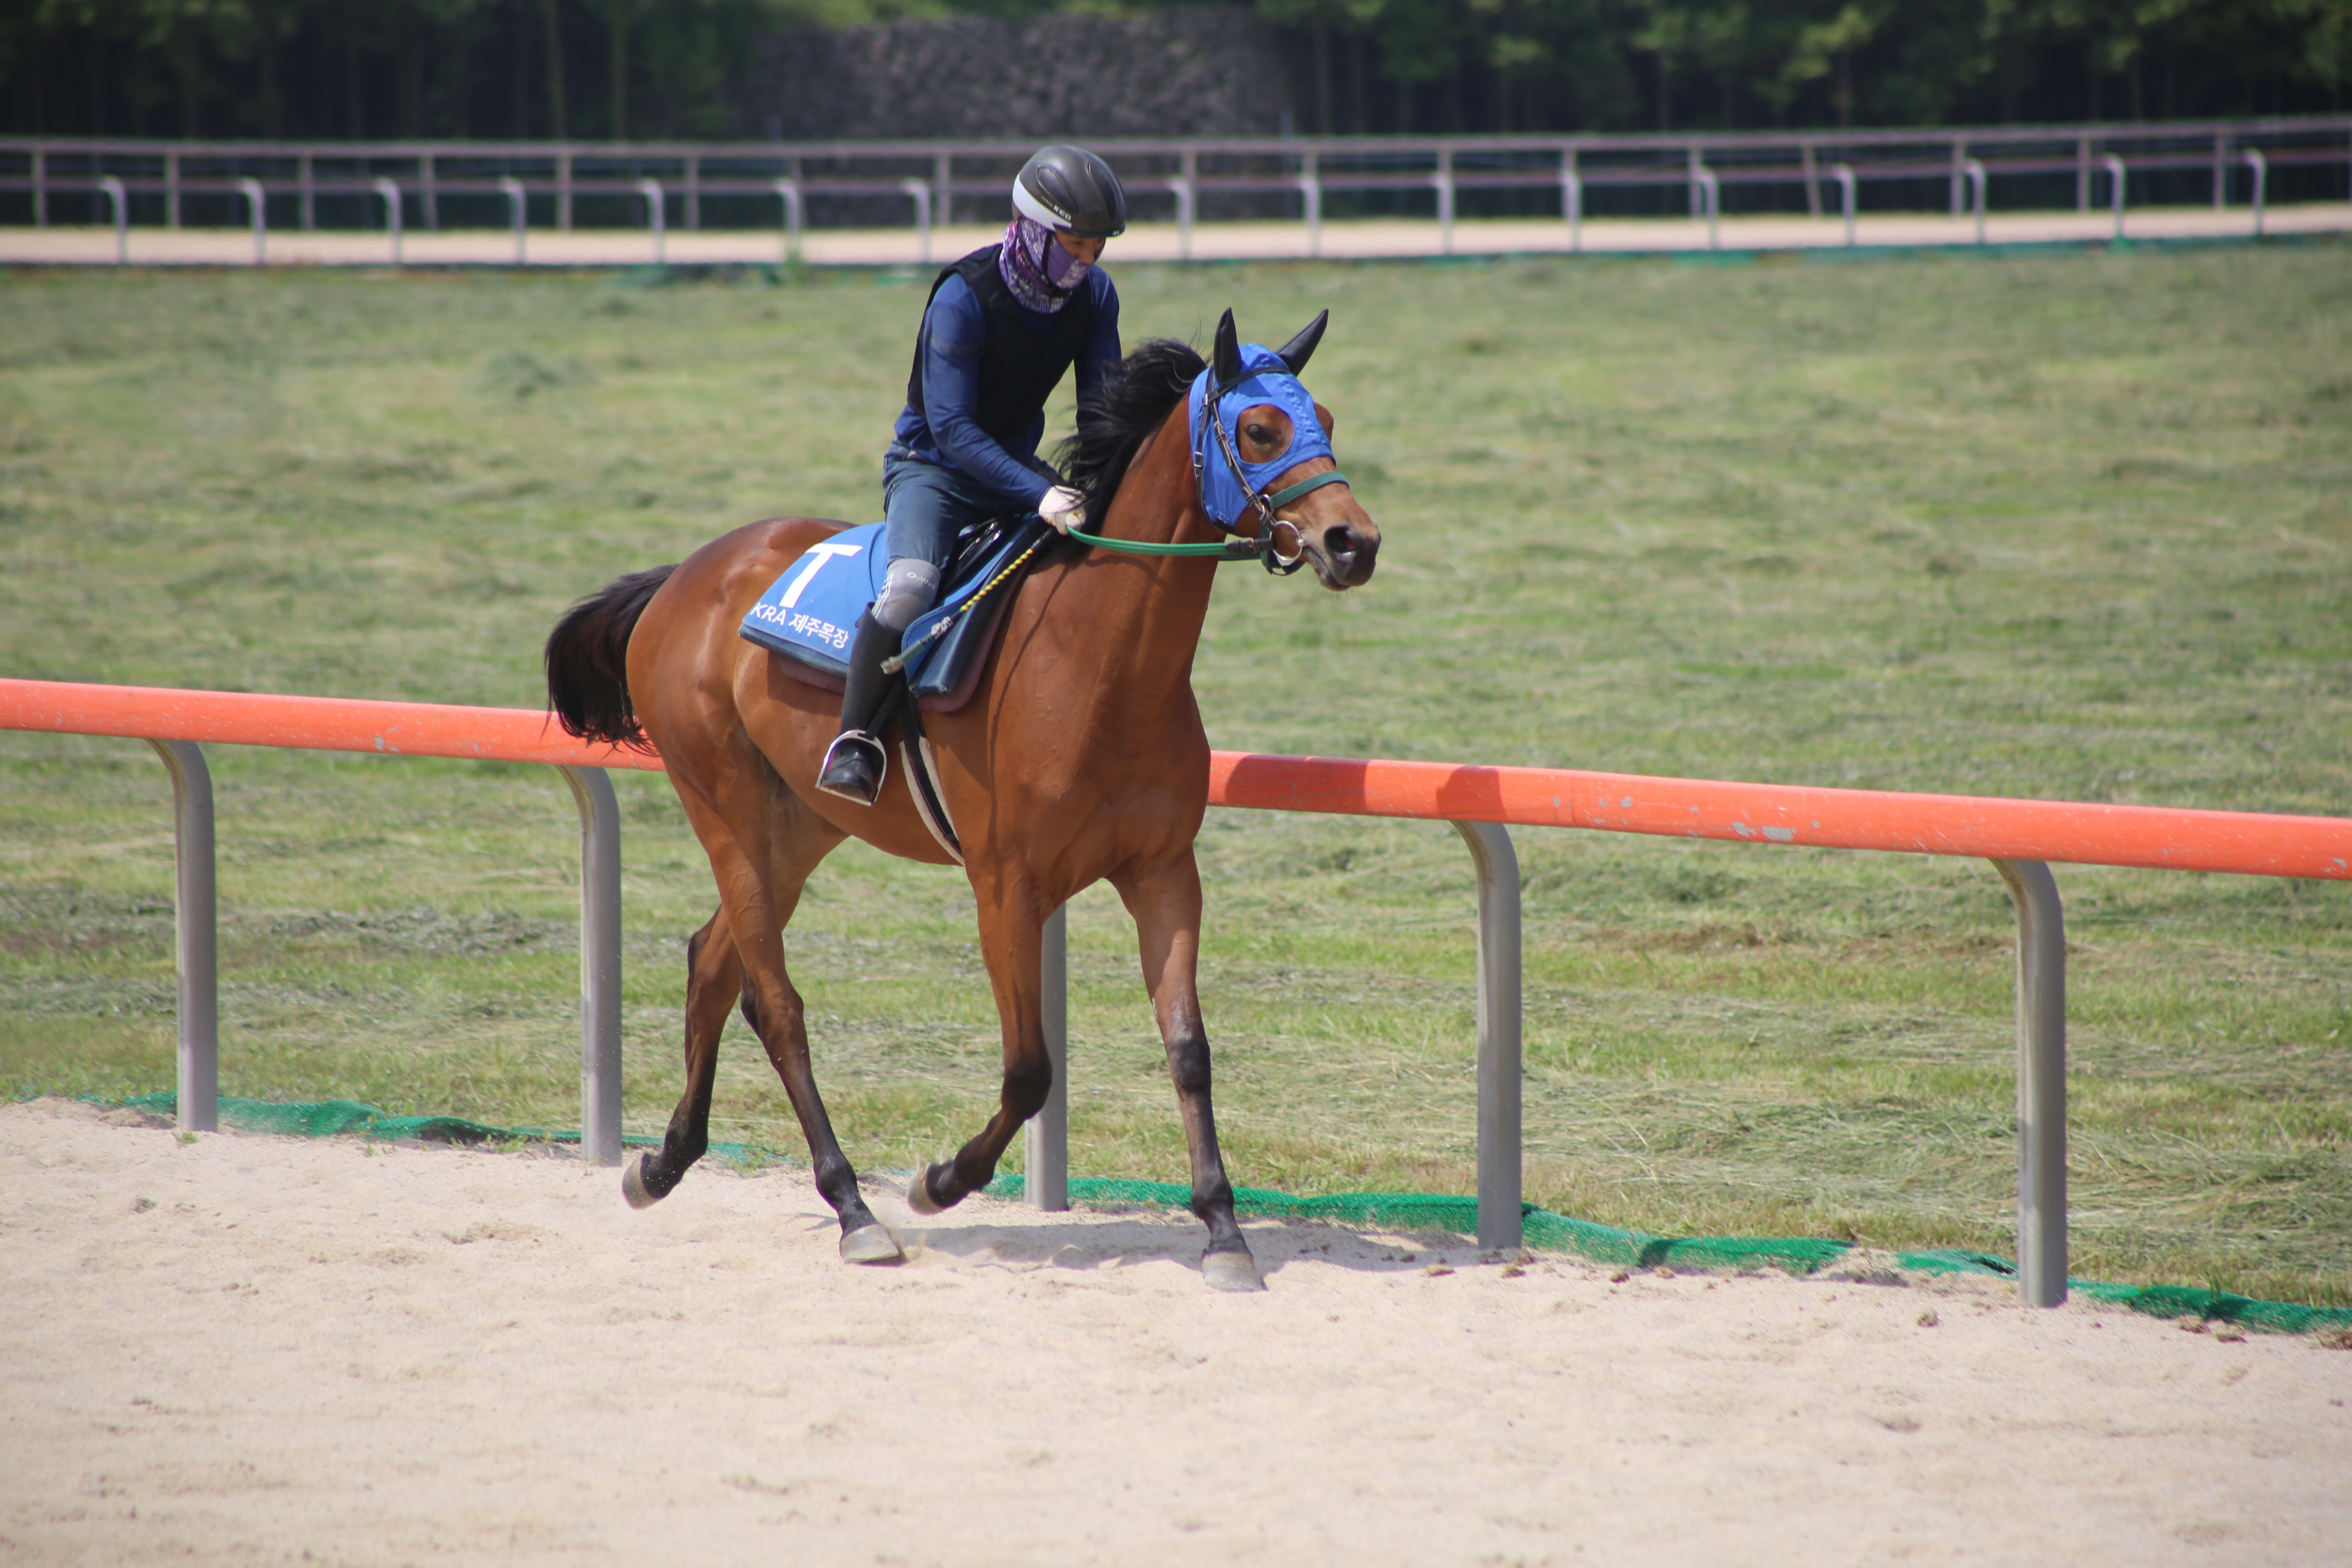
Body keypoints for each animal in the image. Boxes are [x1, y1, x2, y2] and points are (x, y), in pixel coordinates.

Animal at [539, 312, 1373, 1297]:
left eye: (1324, 418)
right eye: (1261, 430)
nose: (1354, 542)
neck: (1102, 664)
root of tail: (685, 576)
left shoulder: (1165, 871)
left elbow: (1189, 1049)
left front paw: (1223, 1230)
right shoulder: (1006, 888)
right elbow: (1029, 1070)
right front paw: (938, 1182)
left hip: (800, 825)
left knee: (712, 961)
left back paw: (664, 1162)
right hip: (724, 807)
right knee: (774, 1004)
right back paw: (853, 1208)